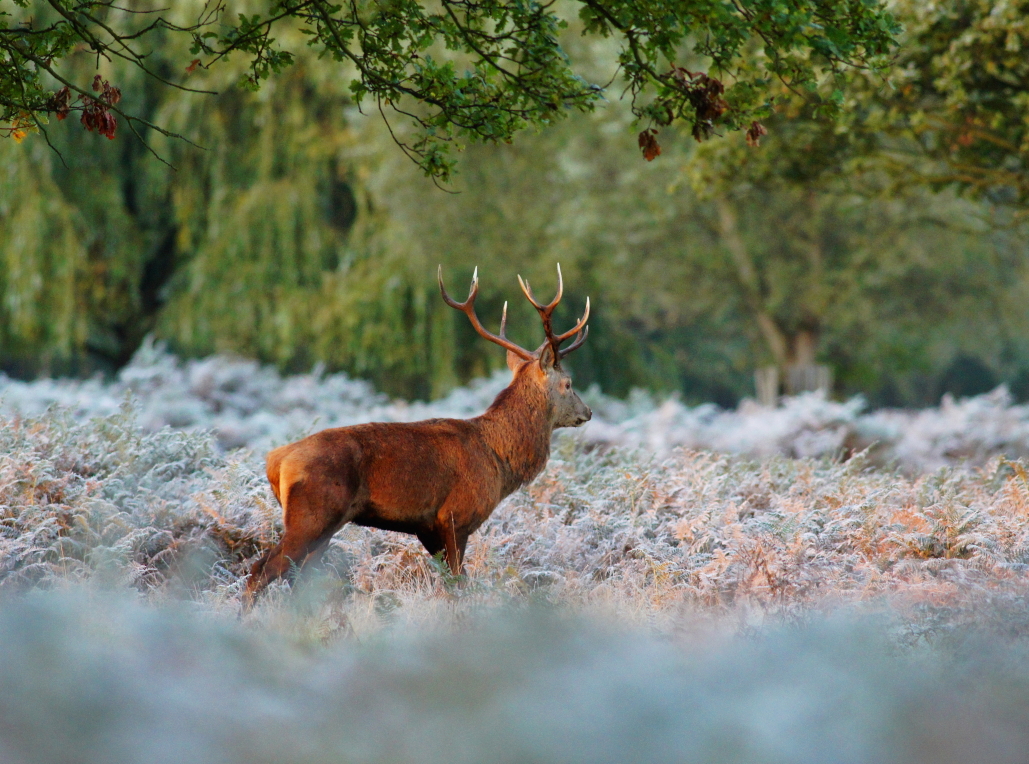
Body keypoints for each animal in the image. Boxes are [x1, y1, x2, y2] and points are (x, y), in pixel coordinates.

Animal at [242, 265, 591, 609]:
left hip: (325, 524)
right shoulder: (456, 515)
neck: (499, 460)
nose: (587, 412)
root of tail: (276, 461)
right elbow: (457, 583)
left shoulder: (427, 526)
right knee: (261, 570)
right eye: (569, 383)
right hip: (311, 514)